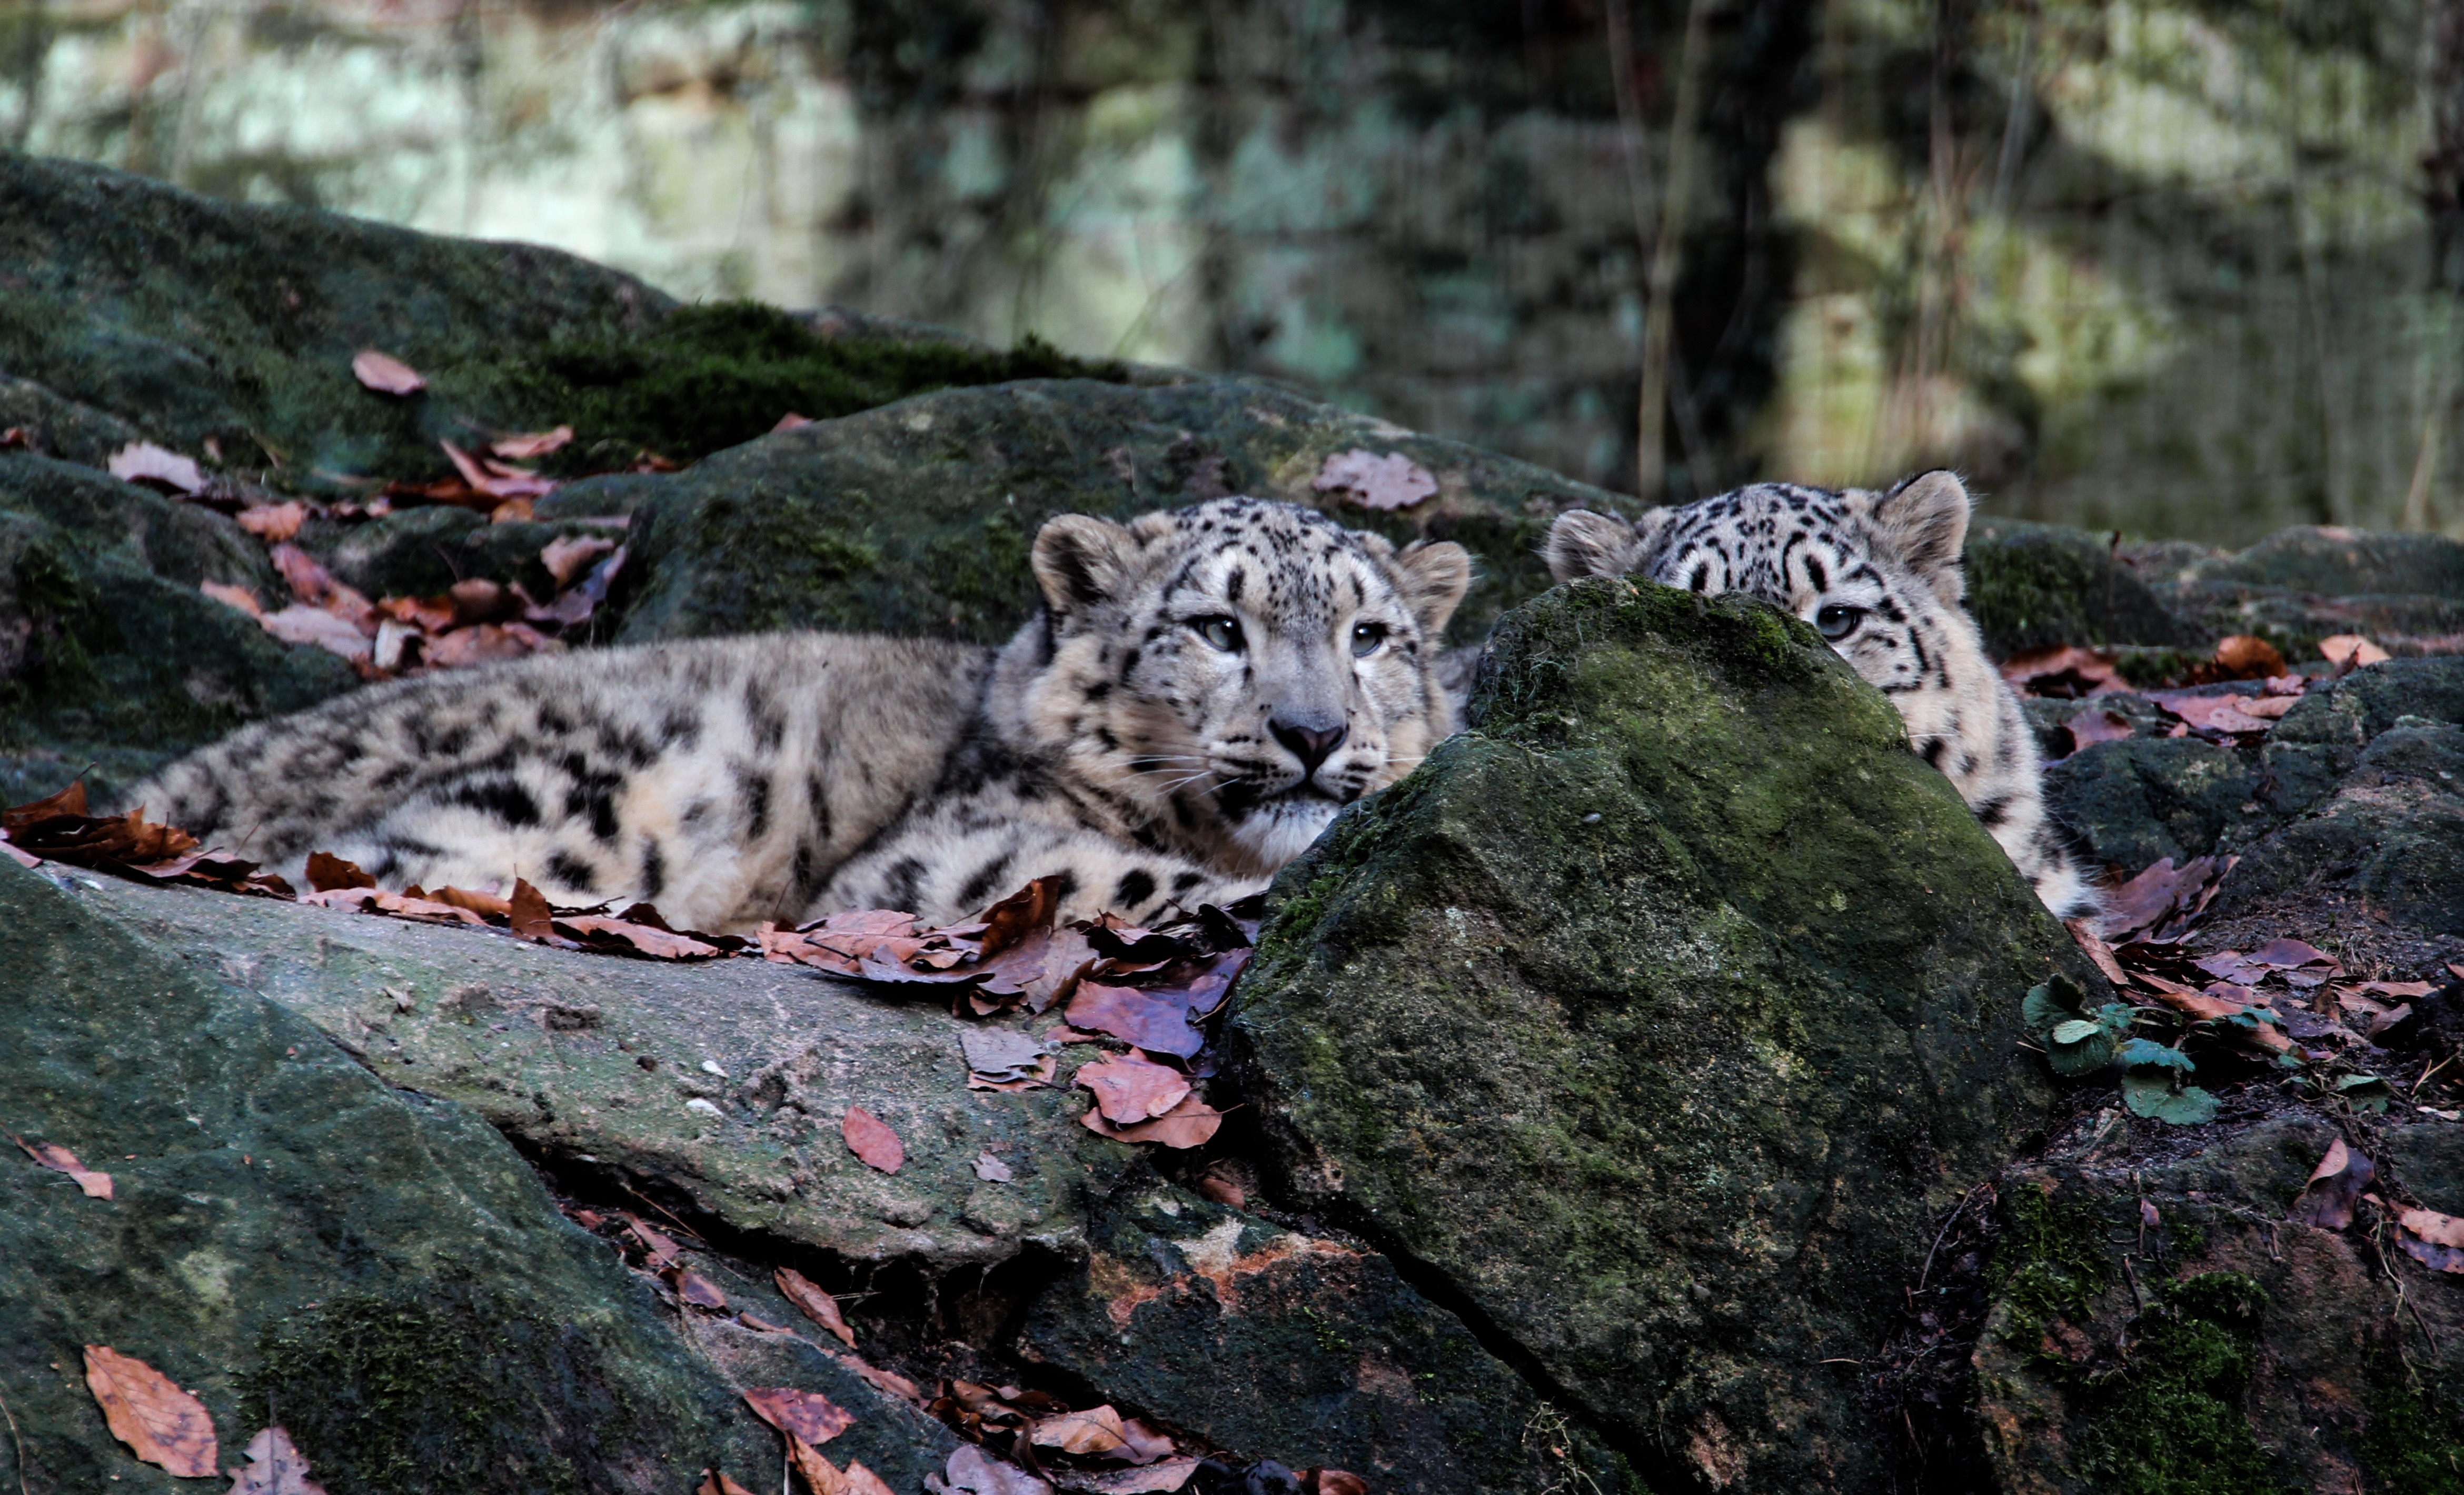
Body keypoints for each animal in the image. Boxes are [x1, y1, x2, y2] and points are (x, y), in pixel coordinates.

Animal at [125, 497, 1468, 931]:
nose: (1312, 734)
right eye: (1217, 627)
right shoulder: (942, 858)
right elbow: (1130, 876)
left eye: (1370, 636)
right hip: (600, 785)